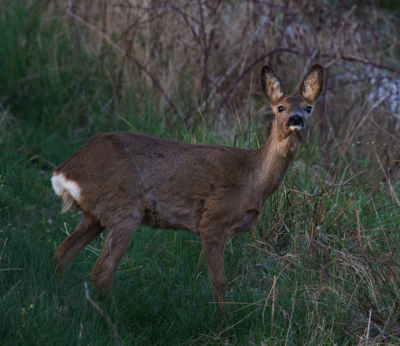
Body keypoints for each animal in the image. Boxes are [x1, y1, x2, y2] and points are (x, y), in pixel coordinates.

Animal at [51, 63, 324, 314]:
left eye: (308, 107)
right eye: (280, 107)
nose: (296, 119)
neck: (253, 179)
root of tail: (65, 170)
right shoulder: (213, 221)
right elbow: (219, 281)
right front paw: (223, 323)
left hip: (96, 213)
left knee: (62, 253)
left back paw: (61, 299)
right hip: (123, 209)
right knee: (101, 270)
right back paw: (114, 317)